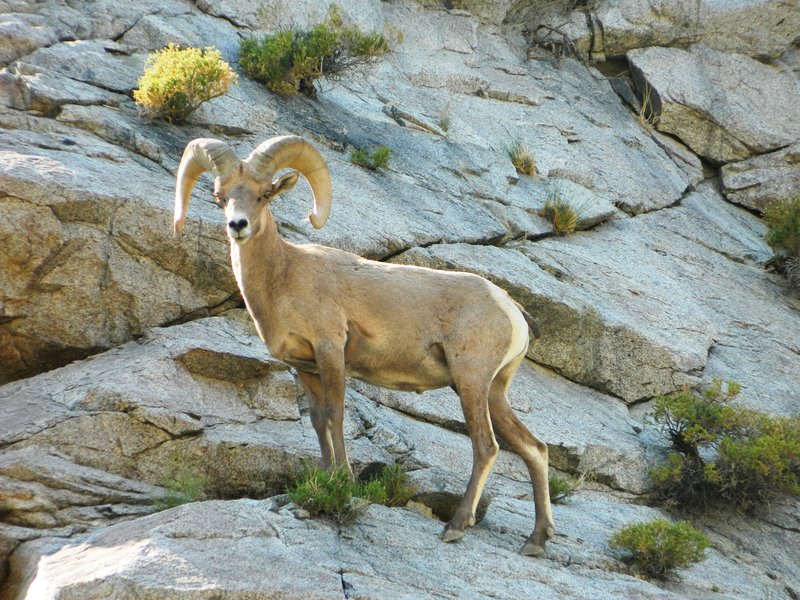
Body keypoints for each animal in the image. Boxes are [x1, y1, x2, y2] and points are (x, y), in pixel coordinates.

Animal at [172, 136, 552, 556]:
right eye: (220, 197)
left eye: (263, 194)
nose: (236, 226)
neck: (284, 277)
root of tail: (510, 307)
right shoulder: (304, 368)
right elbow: (318, 421)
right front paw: (323, 482)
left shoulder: (330, 351)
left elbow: (335, 416)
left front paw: (343, 484)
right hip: (493, 392)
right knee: (535, 449)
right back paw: (536, 542)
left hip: (471, 382)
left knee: (486, 447)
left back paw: (455, 526)